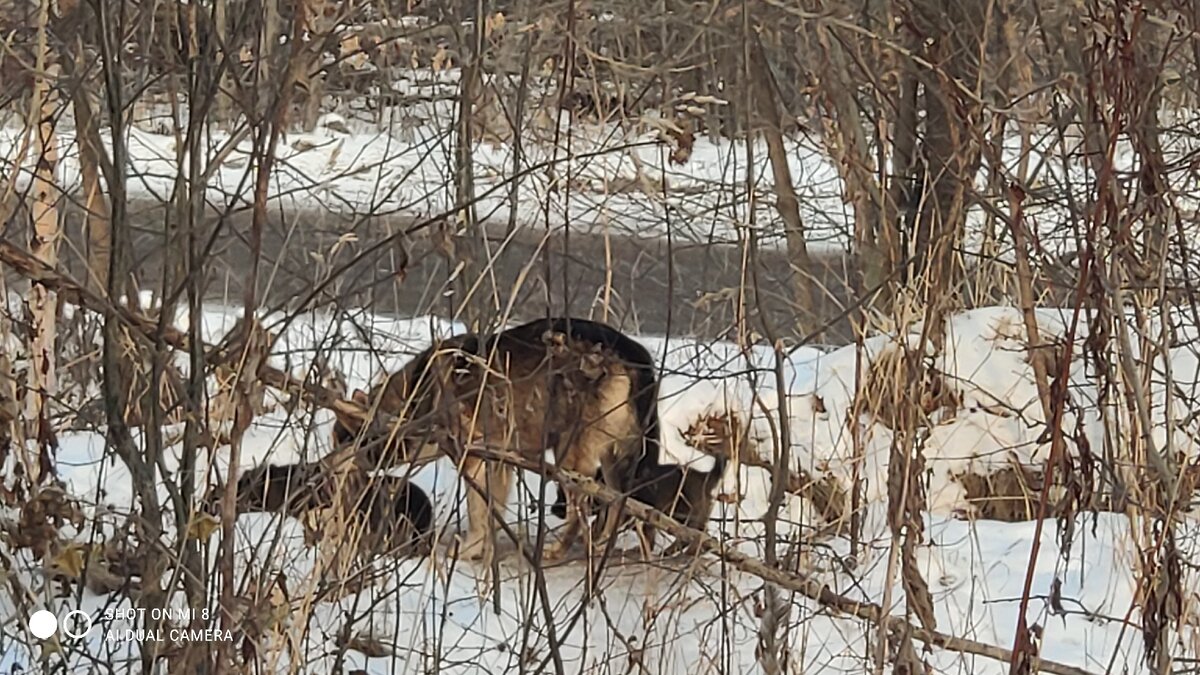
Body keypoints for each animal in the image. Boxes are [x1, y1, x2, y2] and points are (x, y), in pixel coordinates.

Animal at [333, 317, 662, 559]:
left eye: (343, 441)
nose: (329, 468)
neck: (415, 397)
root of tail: (634, 355)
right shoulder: (500, 462)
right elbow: (492, 510)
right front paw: (484, 546)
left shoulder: (475, 459)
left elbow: (478, 510)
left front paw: (472, 548)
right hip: (614, 459)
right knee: (619, 506)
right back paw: (605, 545)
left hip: (571, 459)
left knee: (578, 513)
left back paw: (559, 549)